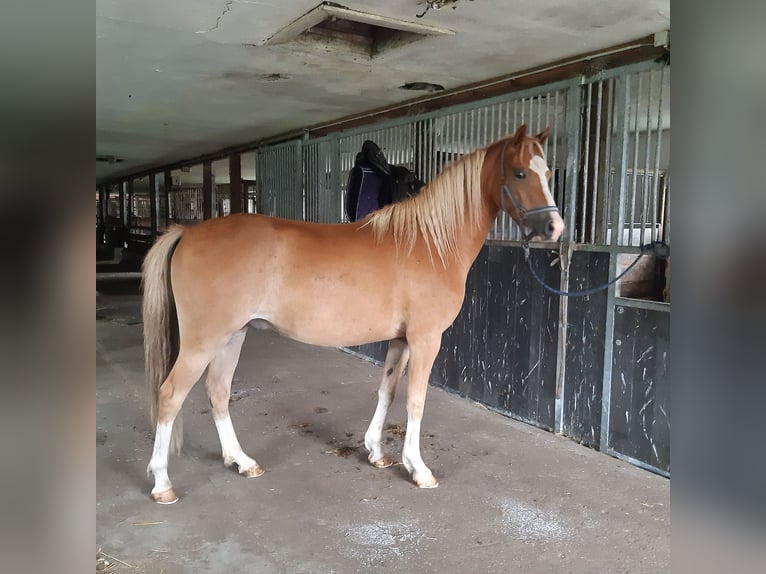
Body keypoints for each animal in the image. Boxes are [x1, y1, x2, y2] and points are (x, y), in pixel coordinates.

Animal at [142, 124, 564, 503]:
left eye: (548, 173)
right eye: (520, 172)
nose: (554, 227)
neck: (428, 243)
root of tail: (187, 232)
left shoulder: (401, 339)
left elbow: (387, 391)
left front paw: (376, 452)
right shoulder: (426, 339)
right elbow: (416, 400)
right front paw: (418, 469)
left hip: (233, 336)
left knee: (218, 392)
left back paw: (241, 461)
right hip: (203, 341)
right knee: (170, 395)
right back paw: (162, 483)